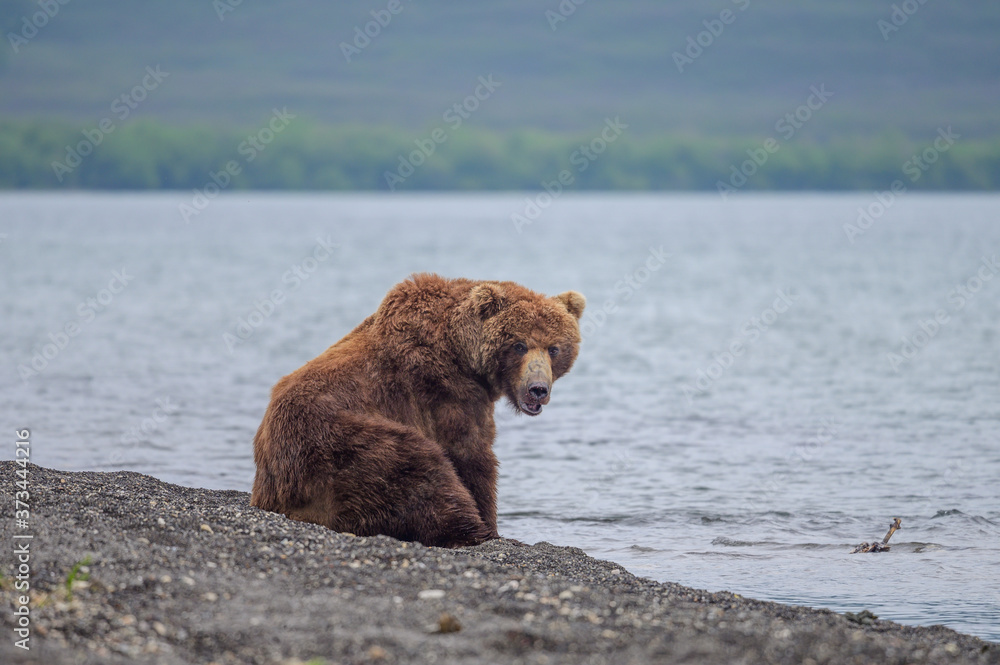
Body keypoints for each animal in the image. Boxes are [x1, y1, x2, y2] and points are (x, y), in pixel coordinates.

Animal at [250, 273, 585, 548]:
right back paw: (471, 531)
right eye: (518, 345)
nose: (538, 389)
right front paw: (491, 523)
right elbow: (471, 455)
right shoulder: (446, 393)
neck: (462, 353)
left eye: (554, 348)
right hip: (337, 445)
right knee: (417, 468)